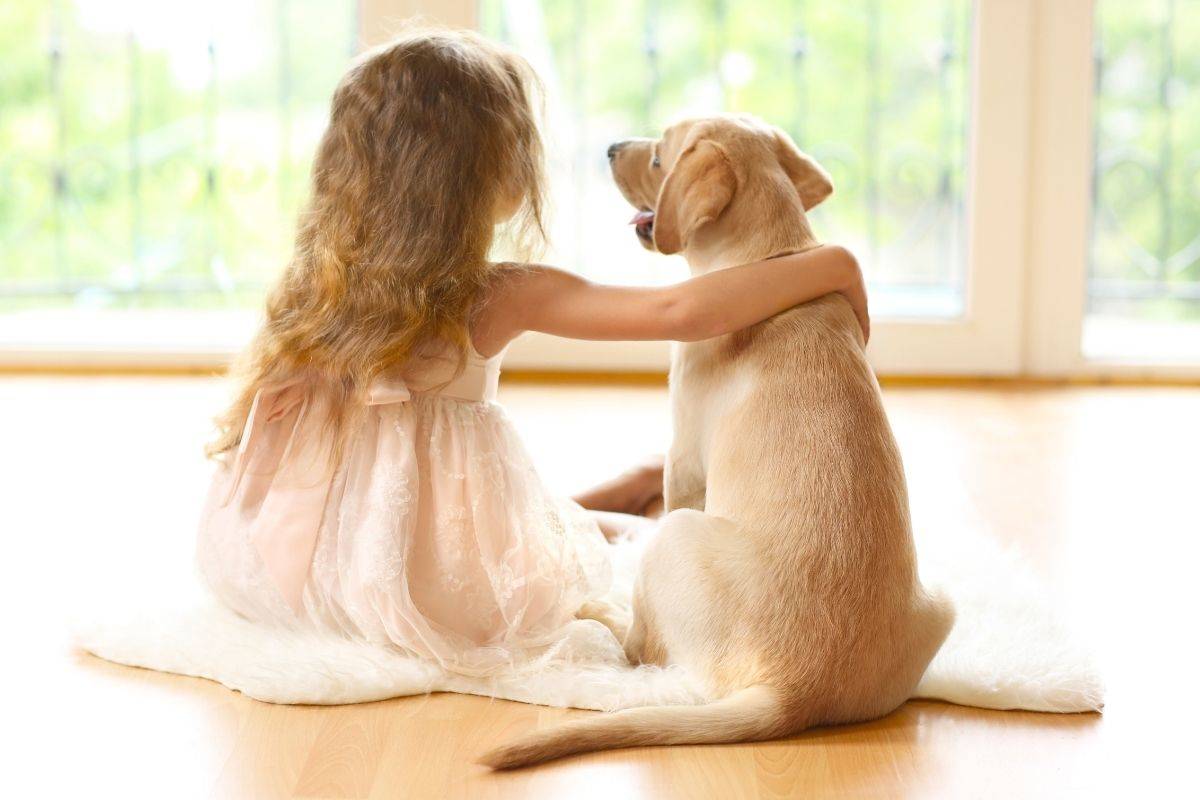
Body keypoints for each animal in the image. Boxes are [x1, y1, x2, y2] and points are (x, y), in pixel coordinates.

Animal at [482, 113, 950, 767]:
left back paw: (601, 603)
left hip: (679, 536)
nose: (611, 147)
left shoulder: (682, 458)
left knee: (641, 644)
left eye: (659, 159)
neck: (767, 257)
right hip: (942, 603)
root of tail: (793, 693)